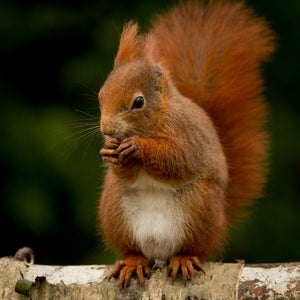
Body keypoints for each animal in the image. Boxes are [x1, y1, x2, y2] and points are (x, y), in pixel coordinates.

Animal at [98, 0, 274, 288]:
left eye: (138, 102)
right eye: (101, 96)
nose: (107, 130)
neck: (157, 121)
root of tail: (158, 251)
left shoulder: (188, 137)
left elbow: (176, 160)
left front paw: (137, 148)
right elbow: (127, 172)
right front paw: (109, 152)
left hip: (200, 209)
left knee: (193, 247)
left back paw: (182, 259)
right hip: (115, 212)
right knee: (131, 249)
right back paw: (133, 262)